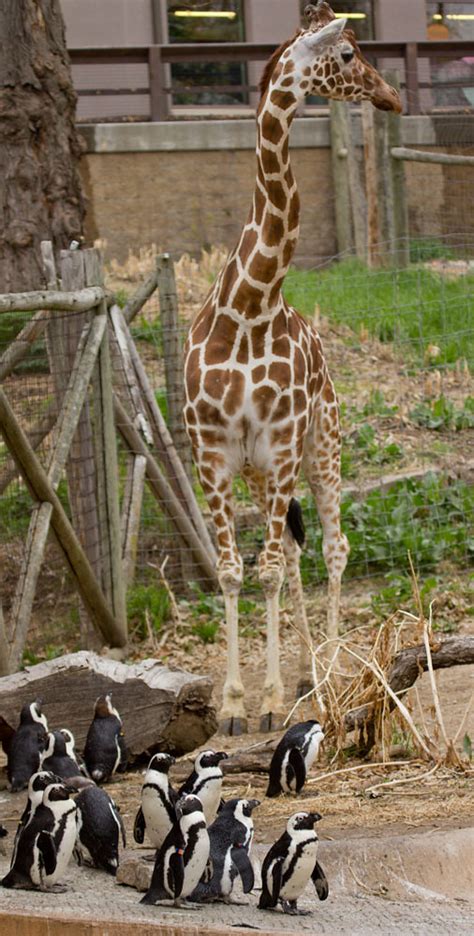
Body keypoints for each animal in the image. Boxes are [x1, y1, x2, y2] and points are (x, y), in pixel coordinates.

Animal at [183, 1, 402, 740]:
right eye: (348, 54)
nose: (392, 95)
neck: (249, 306)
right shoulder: (215, 455)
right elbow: (233, 571)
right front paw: (234, 706)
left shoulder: (279, 446)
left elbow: (270, 570)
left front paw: (271, 700)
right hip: (261, 477)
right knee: (300, 554)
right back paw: (309, 673)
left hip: (323, 446)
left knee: (333, 548)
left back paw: (331, 673)